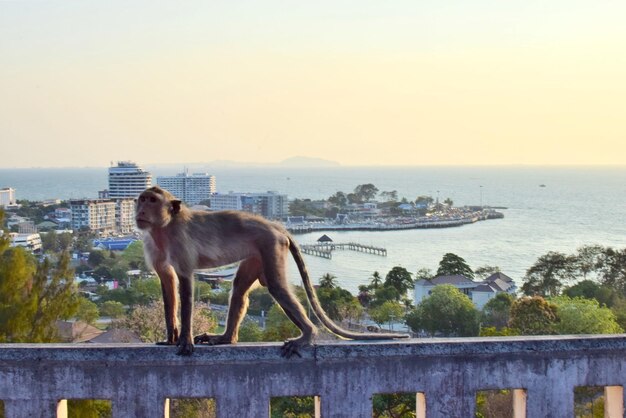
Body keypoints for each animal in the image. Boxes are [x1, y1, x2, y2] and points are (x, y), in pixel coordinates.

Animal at [134, 188, 408, 358]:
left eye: (152, 201)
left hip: (270, 245)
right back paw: (226, 338)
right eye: (142, 199)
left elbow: (185, 285)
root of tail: (277, 226)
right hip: (257, 254)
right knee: (240, 288)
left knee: (277, 286)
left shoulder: (181, 243)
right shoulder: (153, 245)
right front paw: (171, 337)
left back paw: (307, 335)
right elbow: (168, 285)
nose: (140, 211)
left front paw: (185, 340)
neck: (165, 228)